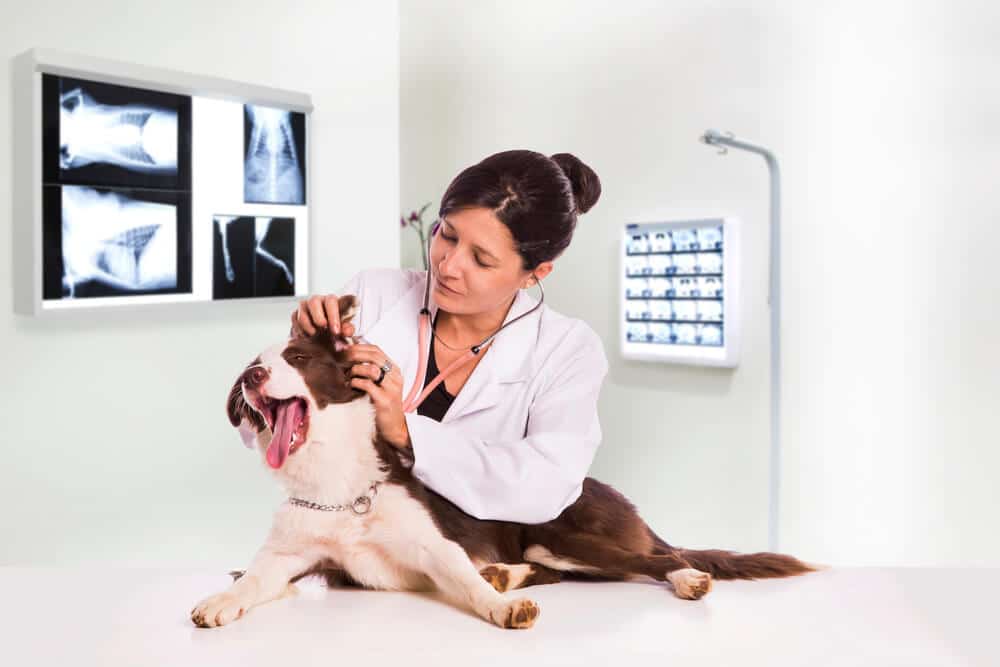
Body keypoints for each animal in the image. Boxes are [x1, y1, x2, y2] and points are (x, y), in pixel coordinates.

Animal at [191, 296, 816, 632]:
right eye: (249, 367)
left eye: (297, 356)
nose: (251, 378)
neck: (338, 483)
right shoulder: (291, 557)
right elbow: (254, 578)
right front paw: (221, 600)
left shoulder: (434, 548)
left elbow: (468, 588)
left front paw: (499, 607)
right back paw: (504, 572)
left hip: (560, 534)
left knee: (655, 559)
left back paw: (684, 577)